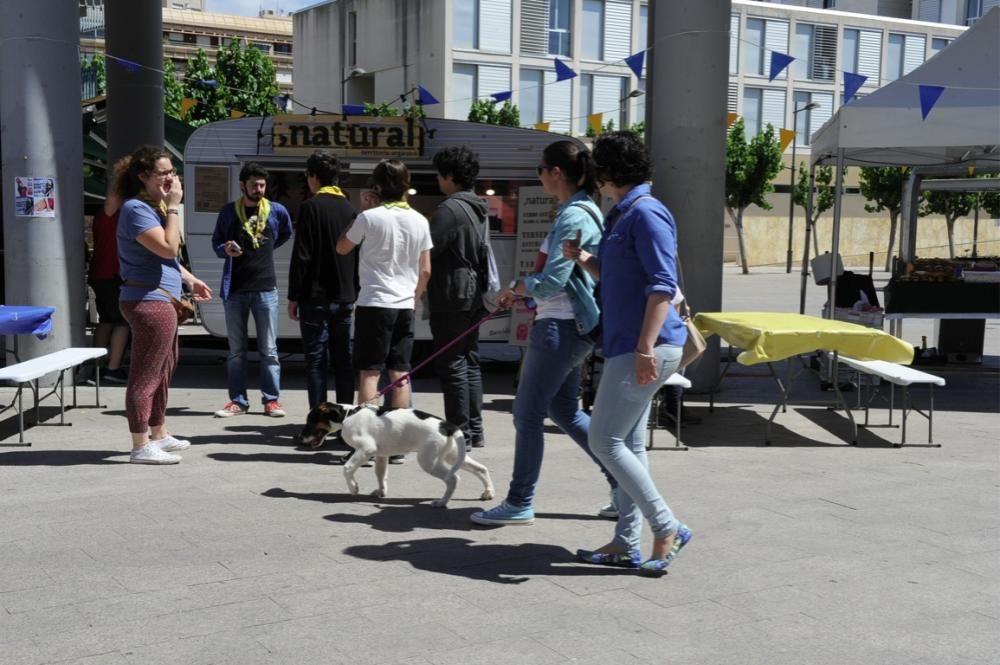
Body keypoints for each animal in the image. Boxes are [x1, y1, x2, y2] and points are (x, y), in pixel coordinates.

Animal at [300, 402, 496, 506]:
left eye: (310, 420)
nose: (300, 438)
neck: (348, 415)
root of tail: (448, 426)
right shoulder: (380, 455)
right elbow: (380, 474)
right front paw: (381, 492)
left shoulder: (365, 449)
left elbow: (347, 468)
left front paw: (353, 488)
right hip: (454, 455)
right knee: (481, 469)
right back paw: (488, 492)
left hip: (428, 460)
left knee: (453, 479)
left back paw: (442, 503)